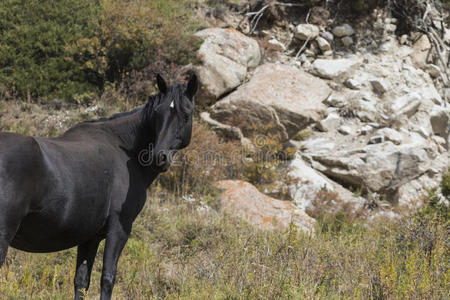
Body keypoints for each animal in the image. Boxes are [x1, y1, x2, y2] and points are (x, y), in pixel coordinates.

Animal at [0, 74, 197, 298]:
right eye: (157, 114)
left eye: (186, 115)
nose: (159, 157)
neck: (124, 149)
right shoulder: (119, 229)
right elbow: (107, 279)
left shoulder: (89, 238)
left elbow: (81, 282)